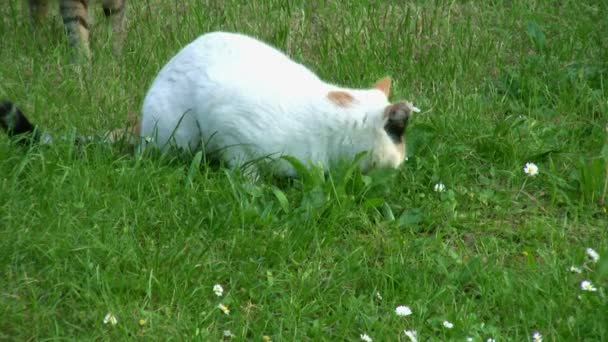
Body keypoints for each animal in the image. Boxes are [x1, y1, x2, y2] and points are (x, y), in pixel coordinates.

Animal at [0, 31, 418, 176]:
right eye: (400, 143)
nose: (404, 163)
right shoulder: (231, 127)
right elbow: (245, 168)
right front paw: (251, 187)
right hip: (179, 135)